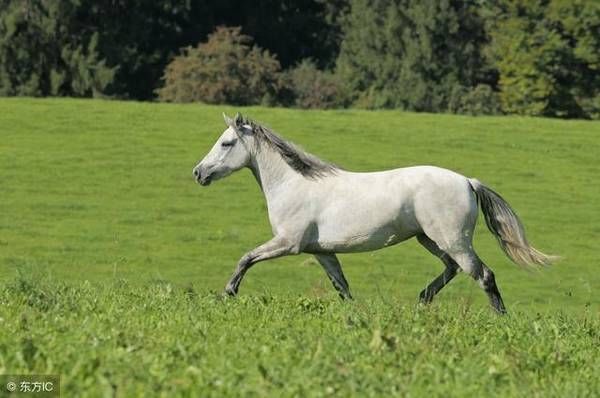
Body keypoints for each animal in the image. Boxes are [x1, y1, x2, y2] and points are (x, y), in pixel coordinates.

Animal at [192, 113, 552, 312]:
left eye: (226, 143)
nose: (199, 173)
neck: (293, 184)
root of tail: (468, 181)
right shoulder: (321, 252)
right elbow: (342, 287)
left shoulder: (287, 243)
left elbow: (246, 258)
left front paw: (228, 292)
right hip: (430, 239)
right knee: (452, 269)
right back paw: (422, 300)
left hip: (453, 240)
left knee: (483, 275)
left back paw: (500, 319)